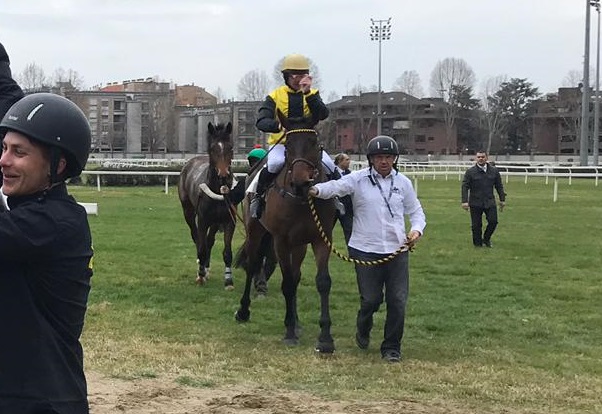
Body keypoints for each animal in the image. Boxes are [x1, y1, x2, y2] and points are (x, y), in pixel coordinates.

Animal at [177, 121, 236, 290]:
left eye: (230, 148)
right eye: (213, 149)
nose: (224, 175)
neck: (218, 191)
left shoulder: (228, 221)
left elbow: (227, 252)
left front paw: (228, 281)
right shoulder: (203, 220)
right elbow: (201, 246)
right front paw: (200, 275)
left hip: (215, 222)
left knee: (209, 241)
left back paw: (206, 268)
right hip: (188, 211)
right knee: (197, 238)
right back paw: (201, 267)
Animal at [234, 125, 338, 352]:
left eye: (313, 142)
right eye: (288, 145)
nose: (301, 181)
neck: (301, 199)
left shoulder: (321, 238)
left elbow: (322, 281)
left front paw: (325, 338)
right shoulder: (280, 240)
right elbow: (287, 283)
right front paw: (289, 332)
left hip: (299, 244)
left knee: (296, 274)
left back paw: (297, 322)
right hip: (255, 232)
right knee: (253, 265)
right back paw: (244, 311)